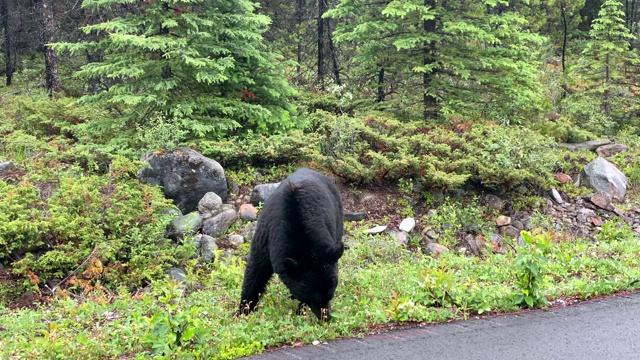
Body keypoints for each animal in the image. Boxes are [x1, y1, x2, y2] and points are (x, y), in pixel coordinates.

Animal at [236, 167, 344, 322]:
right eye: (313, 297)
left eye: (330, 294)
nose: (326, 317)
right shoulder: (267, 233)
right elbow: (256, 268)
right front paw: (243, 311)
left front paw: (300, 310)